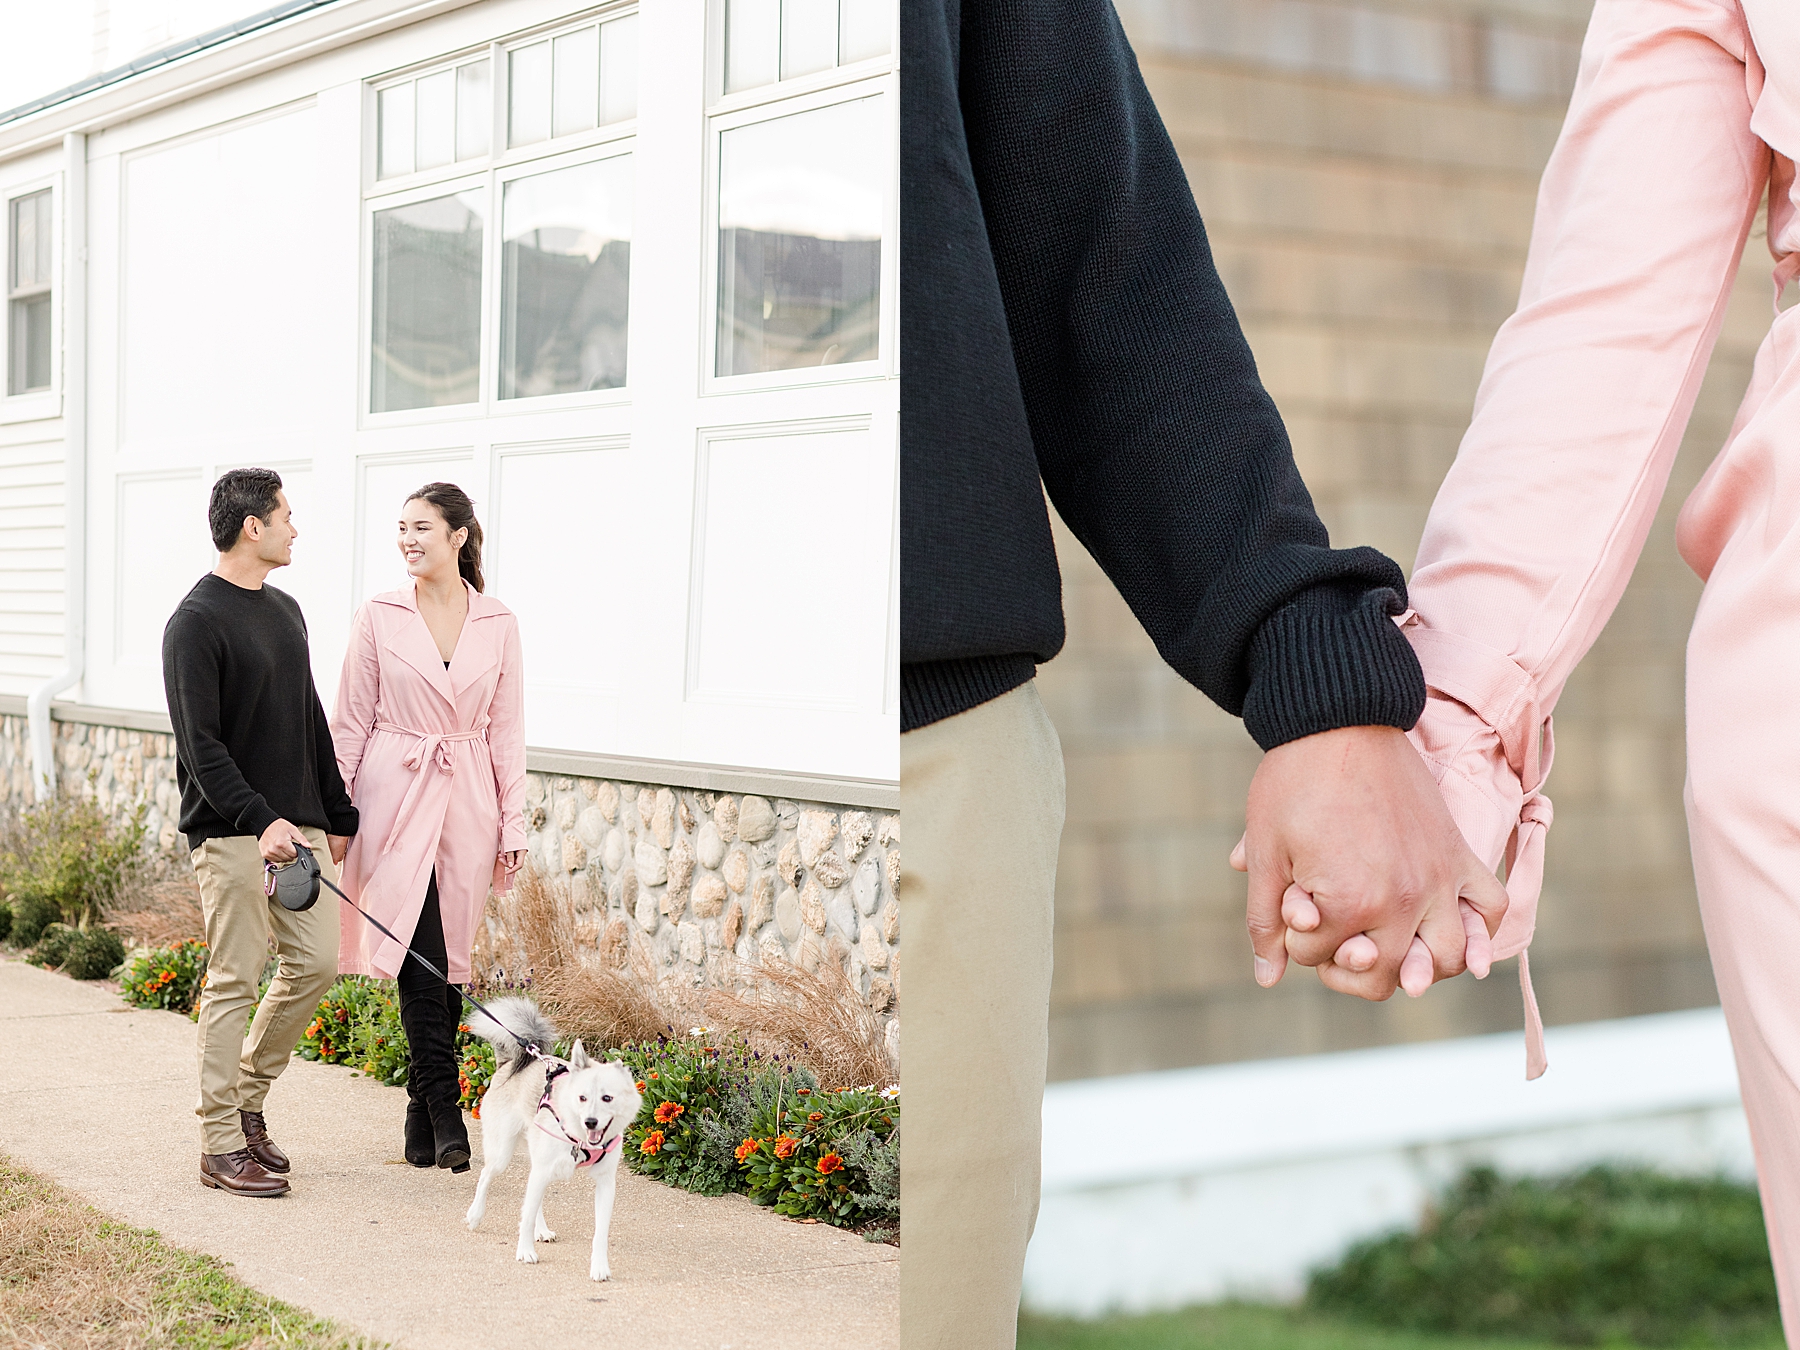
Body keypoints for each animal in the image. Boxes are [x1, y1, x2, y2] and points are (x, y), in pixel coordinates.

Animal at [460, 1000, 644, 1281]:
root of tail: (508, 1064)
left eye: (607, 1098)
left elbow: (600, 1233)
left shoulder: (605, 1184)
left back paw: (541, 1230)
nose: (591, 1122)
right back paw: (476, 1215)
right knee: (486, 1176)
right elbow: (525, 1217)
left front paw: (599, 1266)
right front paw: (525, 1251)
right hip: (503, 1155)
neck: (580, 1138)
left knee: (533, 1199)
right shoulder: (542, 1169)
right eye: (582, 1097)